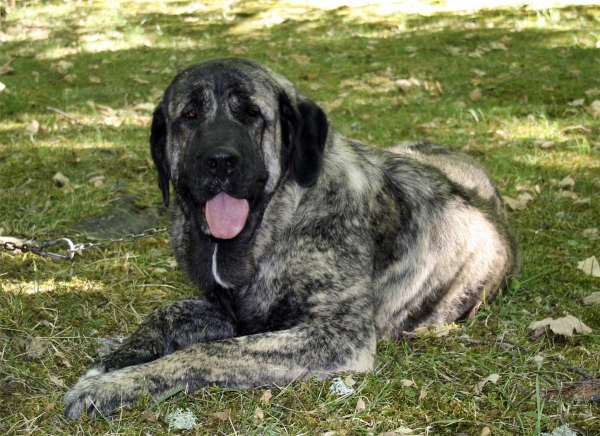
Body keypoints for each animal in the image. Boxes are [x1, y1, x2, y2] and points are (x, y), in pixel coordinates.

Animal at [63, 58, 516, 418]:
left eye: (252, 114)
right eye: (189, 114)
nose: (220, 162)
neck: (275, 225)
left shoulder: (336, 336)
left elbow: (209, 351)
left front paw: (116, 385)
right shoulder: (231, 310)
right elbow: (165, 312)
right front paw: (116, 359)